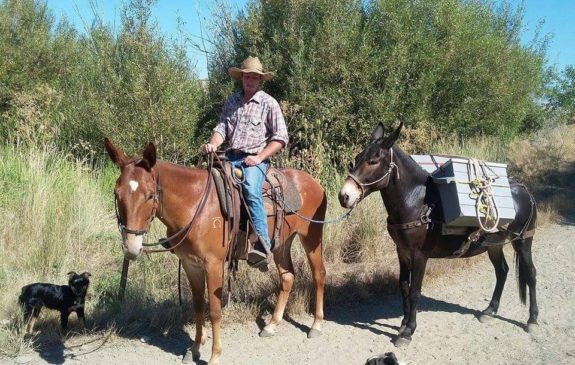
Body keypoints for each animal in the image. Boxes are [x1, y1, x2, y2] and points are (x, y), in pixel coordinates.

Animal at [105, 138, 326, 362]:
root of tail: (313, 182)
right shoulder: (191, 264)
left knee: (318, 274)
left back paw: (316, 325)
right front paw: (194, 348)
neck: (195, 206)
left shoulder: (213, 265)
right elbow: (198, 306)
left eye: (150, 195)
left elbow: (214, 311)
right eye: (117, 193)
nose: (131, 247)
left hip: (311, 237)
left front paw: (214, 356)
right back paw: (271, 325)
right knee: (288, 277)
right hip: (282, 243)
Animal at [340, 121, 536, 344]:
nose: (344, 196)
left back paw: (532, 320)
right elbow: (404, 286)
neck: (418, 203)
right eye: (356, 159)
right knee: (502, 271)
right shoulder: (402, 252)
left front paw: (408, 331)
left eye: (373, 161)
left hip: (522, 241)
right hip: (493, 245)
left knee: (531, 274)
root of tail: (525, 190)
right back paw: (489, 311)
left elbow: (415, 291)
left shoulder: (420, 255)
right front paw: (402, 324)